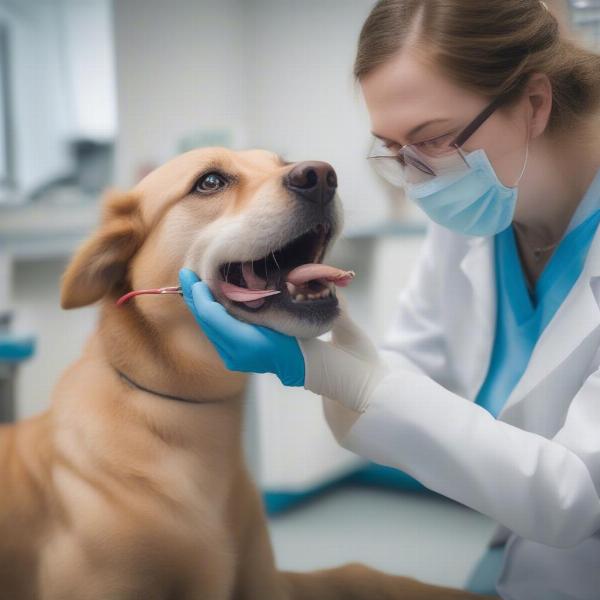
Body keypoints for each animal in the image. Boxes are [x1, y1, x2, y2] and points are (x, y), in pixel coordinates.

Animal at [0, 146, 492, 600]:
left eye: (282, 161)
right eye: (210, 182)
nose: (321, 175)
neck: (189, 417)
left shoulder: (266, 581)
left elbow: (358, 573)